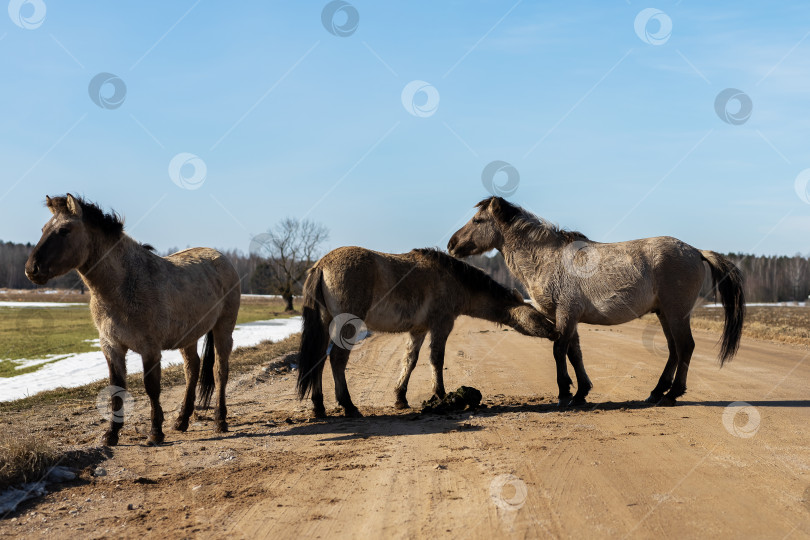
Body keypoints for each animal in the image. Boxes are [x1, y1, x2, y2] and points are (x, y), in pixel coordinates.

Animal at [25, 194, 241, 445]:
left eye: (64, 230)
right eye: (44, 229)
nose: (31, 269)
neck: (124, 285)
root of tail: (222, 258)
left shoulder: (150, 349)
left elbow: (152, 388)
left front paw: (155, 432)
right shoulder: (112, 347)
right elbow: (116, 387)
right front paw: (111, 433)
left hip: (223, 328)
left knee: (220, 370)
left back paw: (220, 420)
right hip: (189, 336)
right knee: (192, 369)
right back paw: (182, 420)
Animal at [296, 246, 560, 417]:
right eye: (538, 315)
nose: (554, 330)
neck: (452, 279)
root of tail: (321, 265)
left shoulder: (419, 330)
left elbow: (410, 361)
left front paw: (400, 398)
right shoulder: (442, 325)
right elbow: (436, 359)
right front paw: (440, 395)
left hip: (325, 324)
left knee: (318, 361)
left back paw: (318, 406)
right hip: (347, 326)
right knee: (337, 360)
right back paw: (348, 405)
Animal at [448, 196, 745, 407]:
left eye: (478, 220)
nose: (451, 245)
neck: (548, 259)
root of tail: (696, 251)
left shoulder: (566, 314)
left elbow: (559, 350)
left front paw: (564, 393)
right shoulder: (568, 318)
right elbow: (574, 353)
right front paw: (581, 392)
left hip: (676, 313)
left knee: (685, 347)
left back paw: (672, 395)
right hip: (663, 314)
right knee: (674, 350)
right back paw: (656, 392)